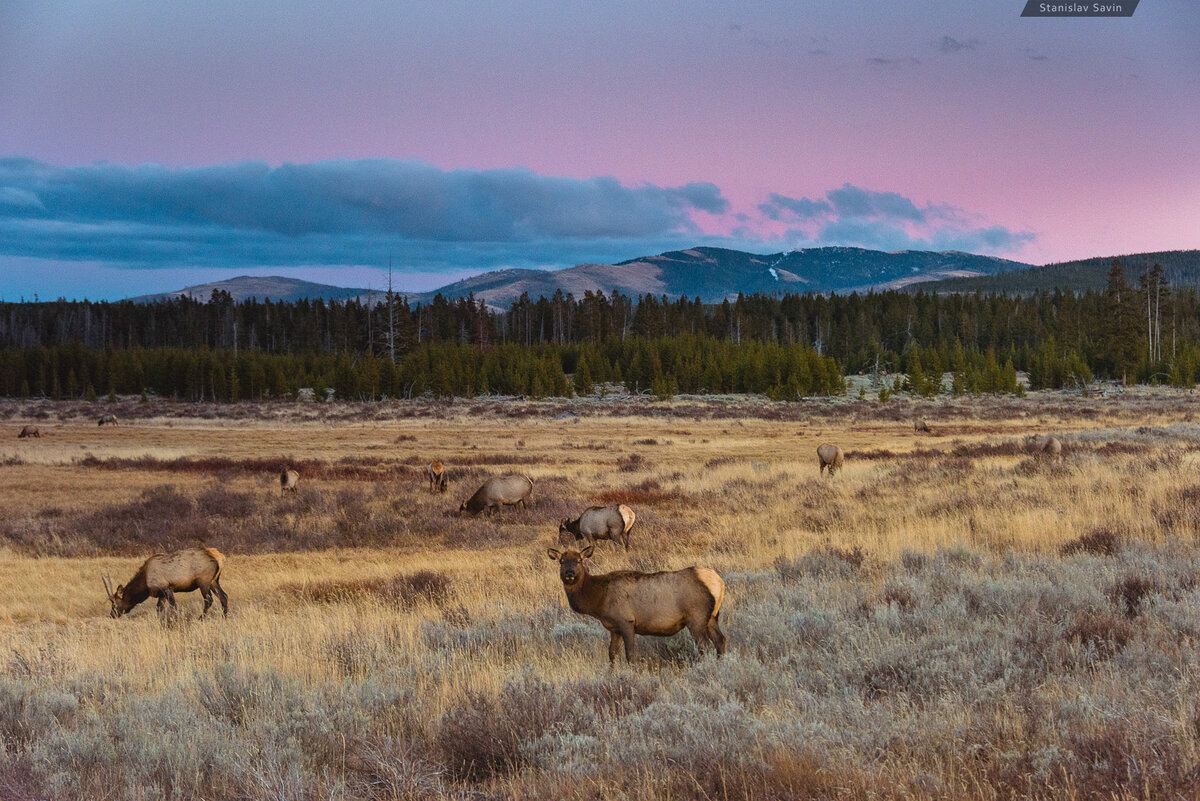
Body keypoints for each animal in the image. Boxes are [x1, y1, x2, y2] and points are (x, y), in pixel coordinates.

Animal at [549, 544, 724, 661]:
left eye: (579, 560)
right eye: (562, 561)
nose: (570, 573)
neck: (599, 601)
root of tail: (719, 582)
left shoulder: (626, 621)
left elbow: (630, 654)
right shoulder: (614, 628)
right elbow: (611, 653)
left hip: (696, 617)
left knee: (704, 646)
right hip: (712, 617)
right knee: (720, 640)